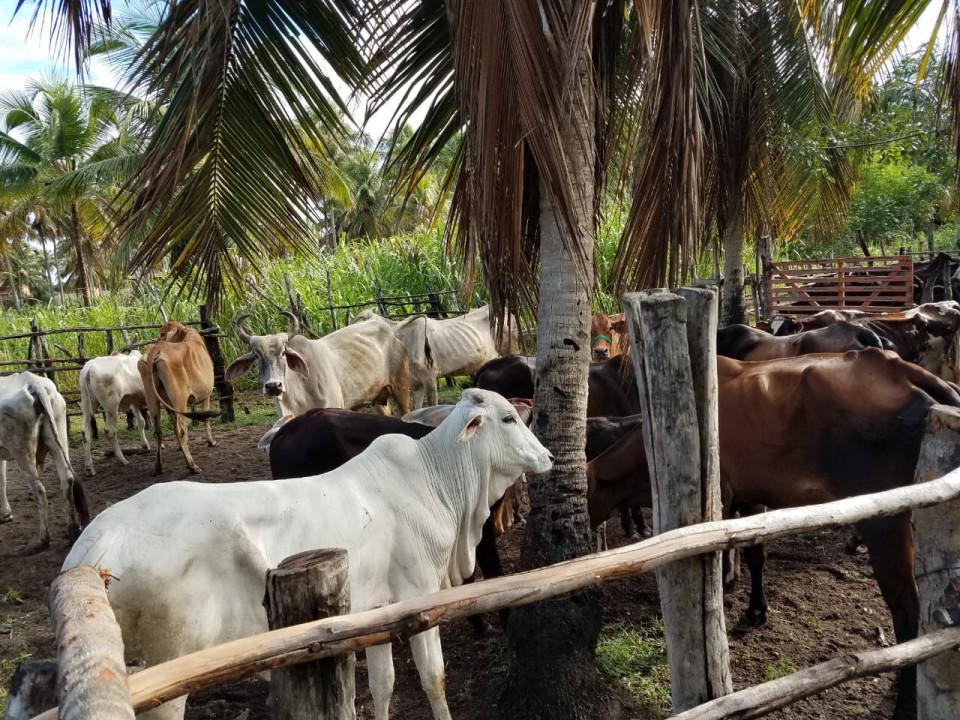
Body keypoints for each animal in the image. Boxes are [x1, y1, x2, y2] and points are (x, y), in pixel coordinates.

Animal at [0, 372, 89, 544]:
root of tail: (32, 382)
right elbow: (2, 480)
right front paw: (5, 514)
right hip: (57, 435)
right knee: (67, 478)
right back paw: (72, 528)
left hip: (21, 450)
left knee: (39, 489)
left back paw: (44, 538)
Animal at [60, 390, 552, 720]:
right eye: (509, 418)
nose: (547, 456)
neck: (436, 477)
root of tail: (92, 547)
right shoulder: (420, 599)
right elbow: (435, 678)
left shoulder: (379, 611)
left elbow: (383, 685)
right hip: (168, 669)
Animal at [137, 320, 218, 476]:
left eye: (162, 333)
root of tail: (157, 349)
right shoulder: (206, 395)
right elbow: (205, 418)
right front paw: (211, 441)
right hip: (179, 398)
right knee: (179, 428)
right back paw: (192, 466)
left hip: (152, 398)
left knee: (158, 430)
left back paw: (159, 466)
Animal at [231, 312, 414, 420]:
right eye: (256, 355)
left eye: (283, 352)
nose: (274, 385)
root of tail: (391, 331)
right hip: (379, 398)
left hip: (401, 387)